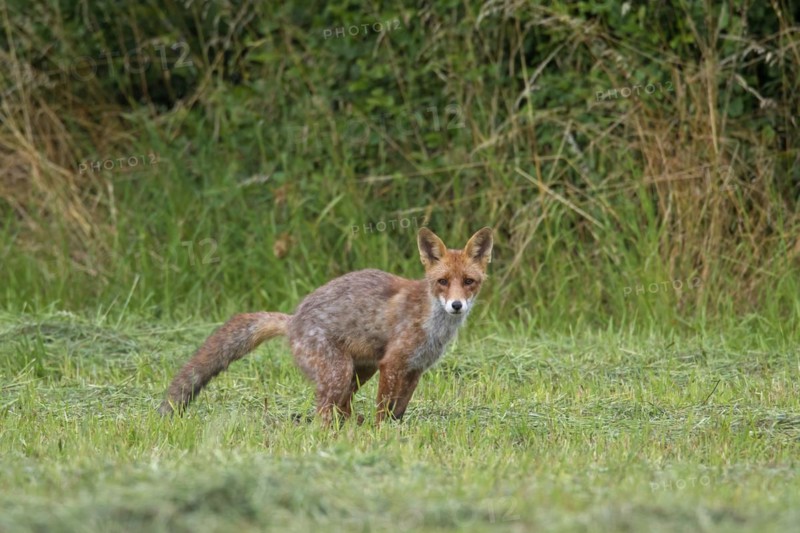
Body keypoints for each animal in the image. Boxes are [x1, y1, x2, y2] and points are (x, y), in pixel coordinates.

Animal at [158, 227, 493, 424]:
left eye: (468, 282)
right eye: (442, 282)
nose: (456, 305)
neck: (433, 325)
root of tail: (293, 319)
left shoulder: (415, 369)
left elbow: (398, 411)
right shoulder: (393, 364)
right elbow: (383, 410)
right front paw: (381, 434)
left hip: (359, 371)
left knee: (341, 407)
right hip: (339, 372)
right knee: (322, 413)